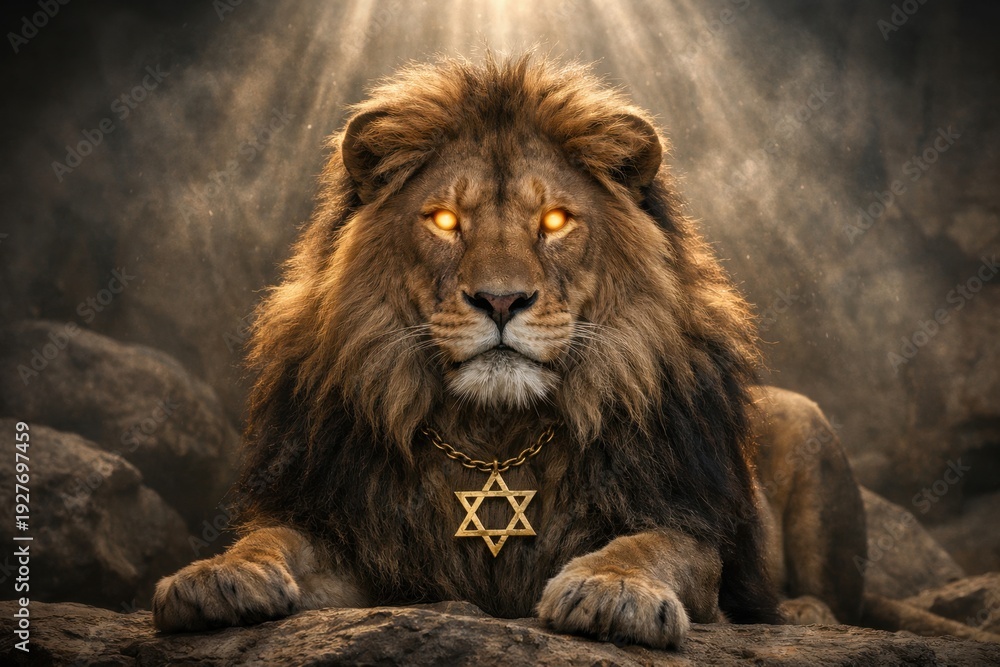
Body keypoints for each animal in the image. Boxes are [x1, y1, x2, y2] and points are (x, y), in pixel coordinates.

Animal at [152, 53, 784, 648]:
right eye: (445, 220)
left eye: (555, 220)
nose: (501, 300)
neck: (494, 440)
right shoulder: (361, 547)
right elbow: (275, 536)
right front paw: (216, 576)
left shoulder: (703, 547)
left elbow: (659, 544)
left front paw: (615, 589)